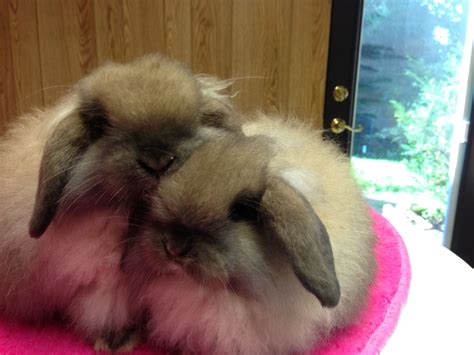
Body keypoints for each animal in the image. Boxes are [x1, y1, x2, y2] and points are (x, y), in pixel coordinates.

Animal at [0, 53, 237, 350]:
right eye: (101, 124)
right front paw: (115, 342)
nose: (158, 159)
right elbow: (106, 310)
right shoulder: (105, 285)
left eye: (193, 120)